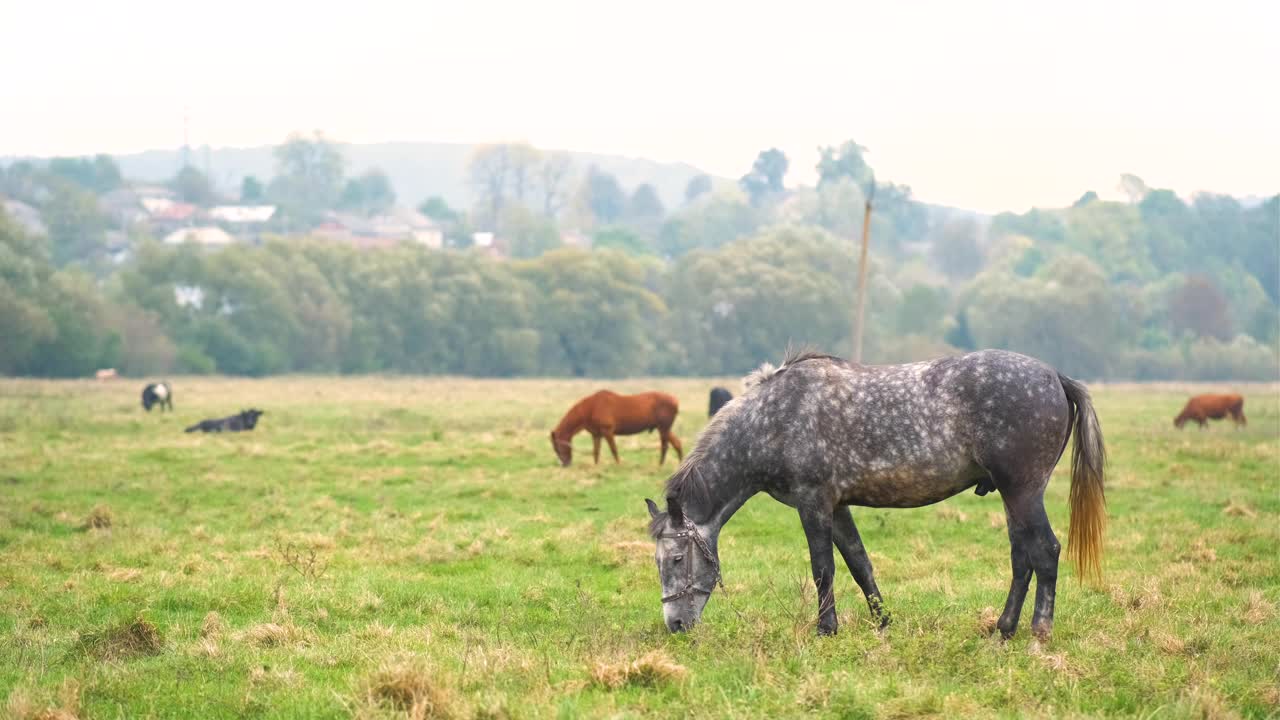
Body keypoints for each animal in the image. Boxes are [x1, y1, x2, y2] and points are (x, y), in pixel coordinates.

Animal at [552, 386, 686, 466]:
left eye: (557, 447)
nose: (565, 464)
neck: (591, 408)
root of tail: (676, 401)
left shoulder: (607, 431)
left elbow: (613, 449)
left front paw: (618, 465)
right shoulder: (596, 435)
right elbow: (596, 452)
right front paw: (596, 466)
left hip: (663, 428)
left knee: (665, 446)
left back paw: (660, 465)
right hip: (663, 428)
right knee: (677, 443)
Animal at [645, 348, 1105, 638]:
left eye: (677, 558)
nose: (675, 626)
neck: (773, 420)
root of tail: (1055, 377)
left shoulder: (813, 504)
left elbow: (823, 569)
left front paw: (826, 629)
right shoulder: (838, 506)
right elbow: (859, 564)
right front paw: (883, 621)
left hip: (1023, 492)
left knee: (1045, 551)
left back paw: (1039, 631)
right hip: (1013, 497)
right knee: (1021, 558)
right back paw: (1003, 629)